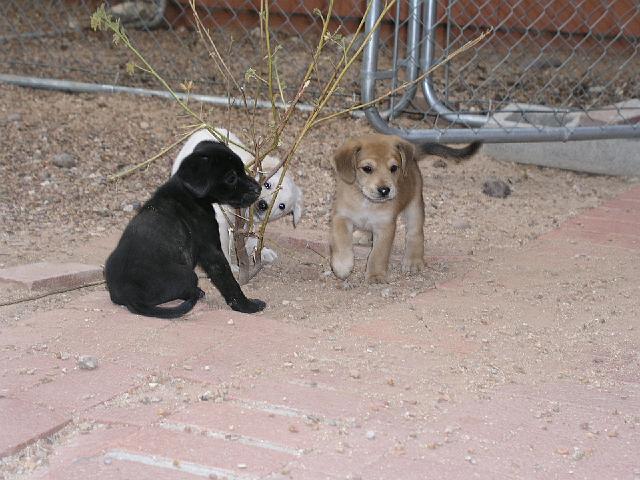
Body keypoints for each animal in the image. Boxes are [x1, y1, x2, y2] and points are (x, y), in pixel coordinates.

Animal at [106, 139, 266, 318]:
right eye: (231, 178)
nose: (258, 189)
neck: (190, 194)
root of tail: (131, 295)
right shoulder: (212, 252)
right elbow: (229, 282)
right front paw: (247, 306)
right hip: (189, 274)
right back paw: (197, 292)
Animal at [332, 133, 478, 284]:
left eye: (393, 168)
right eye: (367, 168)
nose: (384, 190)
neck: (366, 202)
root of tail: (413, 157)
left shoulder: (386, 226)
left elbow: (378, 253)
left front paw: (375, 275)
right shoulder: (341, 217)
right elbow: (341, 241)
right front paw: (342, 265)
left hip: (414, 207)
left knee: (415, 234)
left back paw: (413, 260)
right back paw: (363, 234)